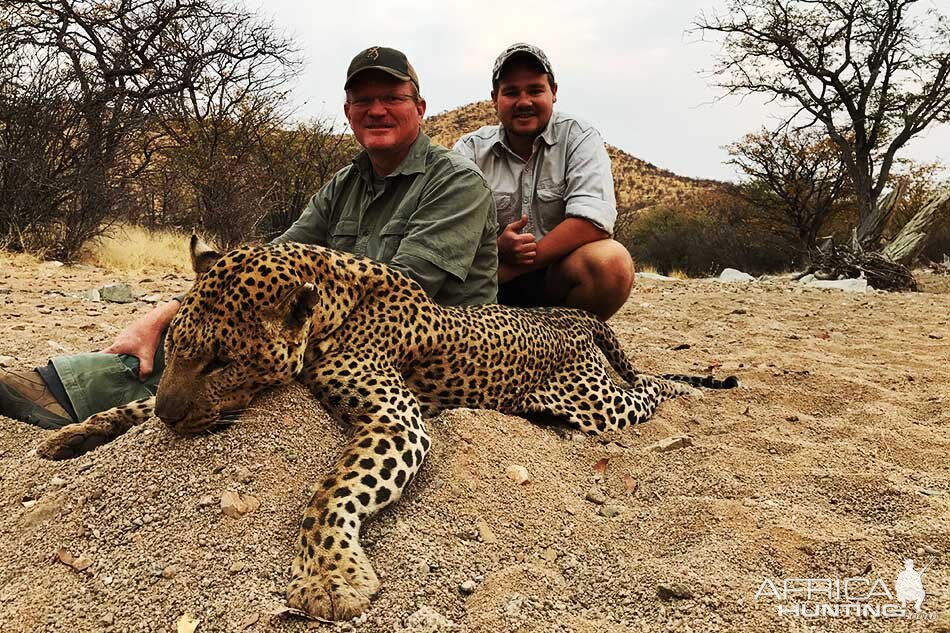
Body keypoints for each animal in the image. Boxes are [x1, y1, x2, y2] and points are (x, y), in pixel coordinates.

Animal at [37, 235, 740, 620]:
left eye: (222, 362)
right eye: (175, 348)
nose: (171, 415)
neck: (332, 308)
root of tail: (571, 317)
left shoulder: (397, 420)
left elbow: (329, 493)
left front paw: (331, 578)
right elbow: (130, 410)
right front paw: (75, 436)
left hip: (594, 400)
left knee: (648, 390)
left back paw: (684, 389)